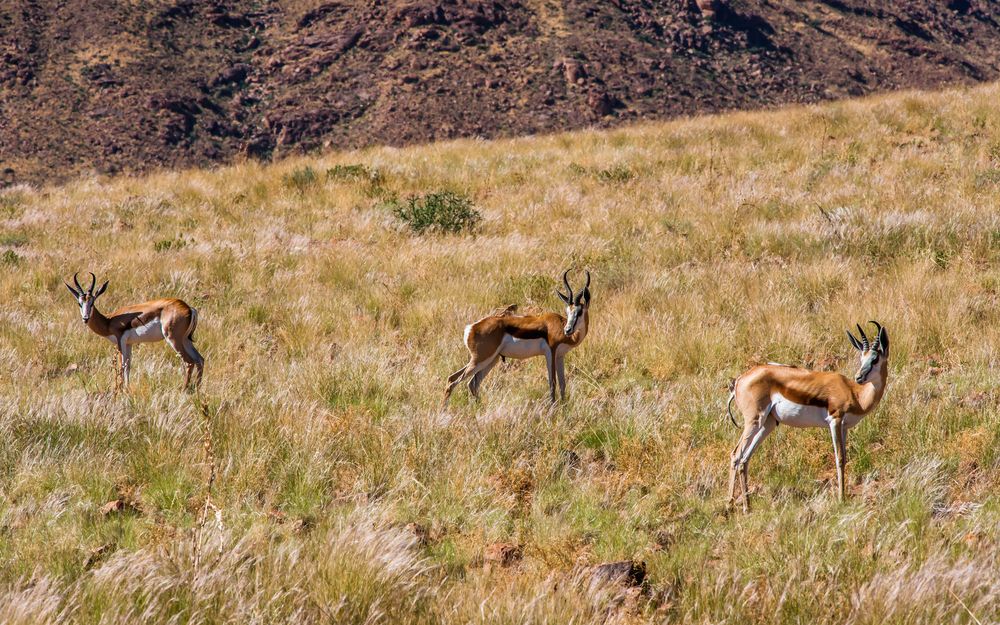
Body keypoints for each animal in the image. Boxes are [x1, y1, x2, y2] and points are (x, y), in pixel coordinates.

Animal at [65, 272, 205, 390]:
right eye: (79, 303)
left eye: (92, 303)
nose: (85, 318)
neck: (109, 321)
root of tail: (189, 308)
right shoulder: (129, 343)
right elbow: (128, 366)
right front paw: (127, 389)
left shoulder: (120, 342)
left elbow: (121, 366)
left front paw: (119, 390)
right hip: (185, 340)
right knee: (200, 360)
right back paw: (197, 389)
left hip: (174, 339)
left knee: (189, 362)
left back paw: (184, 389)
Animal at [444, 270, 588, 402]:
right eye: (568, 311)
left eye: (579, 311)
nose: (568, 330)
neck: (558, 325)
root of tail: (472, 327)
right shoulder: (551, 353)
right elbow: (552, 383)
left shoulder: (560, 356)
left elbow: (563, 384)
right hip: (481, 359)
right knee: (453, 382)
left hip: (491, 359)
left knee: (469, 382)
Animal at [728, 322, 892, 512]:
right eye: (862, 358)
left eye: (874, 359)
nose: (859, 377)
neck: (855, 393)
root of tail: (739, 379)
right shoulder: (835, 421)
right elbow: (839, 458)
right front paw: (841, 499)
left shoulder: (844, 427)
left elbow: (844, 457)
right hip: (754, 421)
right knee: (736, 454)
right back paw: (729, 505)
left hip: (767, 424)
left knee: (744, 459)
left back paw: (747, 507)